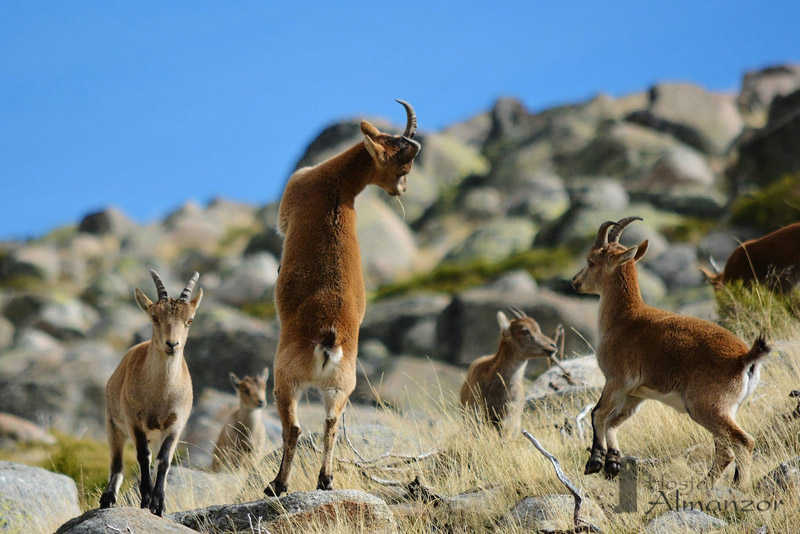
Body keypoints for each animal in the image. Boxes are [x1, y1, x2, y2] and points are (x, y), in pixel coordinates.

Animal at [99, 272, 203, 516]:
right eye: (154, 317)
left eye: (190, 320)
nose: (172, 344)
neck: (159, 396)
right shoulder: (134, 421)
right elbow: (142, 456)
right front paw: (146, 499)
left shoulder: (176, 423)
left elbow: (163, 460)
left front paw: (158, 504)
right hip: (113, 424)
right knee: (117, 462)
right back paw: (108, 497)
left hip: (157, 434)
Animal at [266, 101, 422, 498]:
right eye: (402, 166)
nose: (401, 189)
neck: (334, 185)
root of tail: (330, 338)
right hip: (341, 387)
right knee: (331, 423)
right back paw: (325, 480)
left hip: (285, 380)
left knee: (295, 427)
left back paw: (277, 485)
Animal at [572, 219, 772, 490]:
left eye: (591, 260)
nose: (575, 281)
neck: (623, 318)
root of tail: (744, 358)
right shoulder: (635, 394)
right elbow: (614, 421)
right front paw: (612, 463)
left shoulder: (616, 381)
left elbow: (598, 413)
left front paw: (595, 462)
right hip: (725, 410)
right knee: (725, 449)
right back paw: (705, 485)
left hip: (706, 408)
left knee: (742, 442)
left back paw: (736, 486)